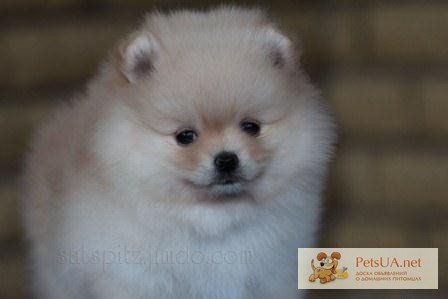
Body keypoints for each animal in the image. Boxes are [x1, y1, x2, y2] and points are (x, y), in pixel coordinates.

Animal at [22, 6, 334, 299]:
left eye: (251, 127)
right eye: (185, 137)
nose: (226, 159)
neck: (213, 221)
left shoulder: (274, 278)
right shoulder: (132, 279)